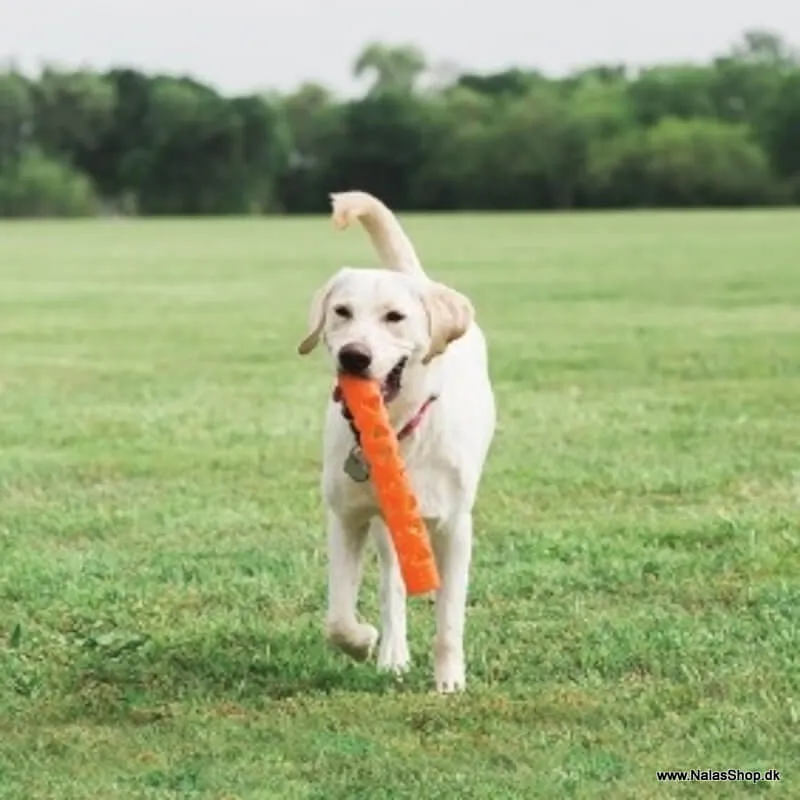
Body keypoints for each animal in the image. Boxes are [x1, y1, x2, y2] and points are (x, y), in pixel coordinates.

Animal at [296, 191, 494, 692]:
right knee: (393, 585)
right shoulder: (347, 517)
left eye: (395, 317)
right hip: (386, 527)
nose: (354, 356)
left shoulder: (455, 526)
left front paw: (449, 682)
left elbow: (449, 618)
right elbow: (338, 618)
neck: (400, 435)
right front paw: (363, 640)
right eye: (342, 312)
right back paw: (393, 652)